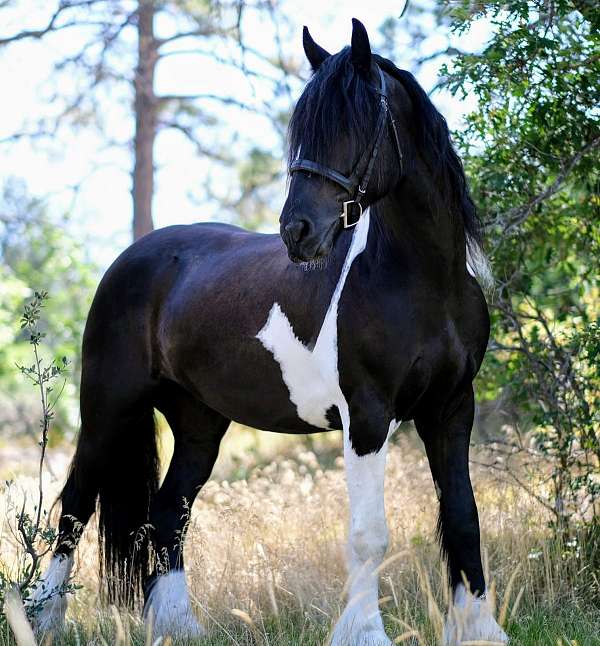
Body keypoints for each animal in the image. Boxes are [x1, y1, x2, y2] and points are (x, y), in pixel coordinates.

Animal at [30, 17, 508, 644]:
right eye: (303, 130)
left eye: (355, 123)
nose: (296, 231)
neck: (423, 280)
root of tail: (131, 258)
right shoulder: (368, 415)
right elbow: (369, 534)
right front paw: (364, 632)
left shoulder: (452, 408)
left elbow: (463, 518)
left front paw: (479, 628)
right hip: (110, 407)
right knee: (74, 508)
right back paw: (43, 619)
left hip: (199, 422)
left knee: (168, 513)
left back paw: (179, 625)